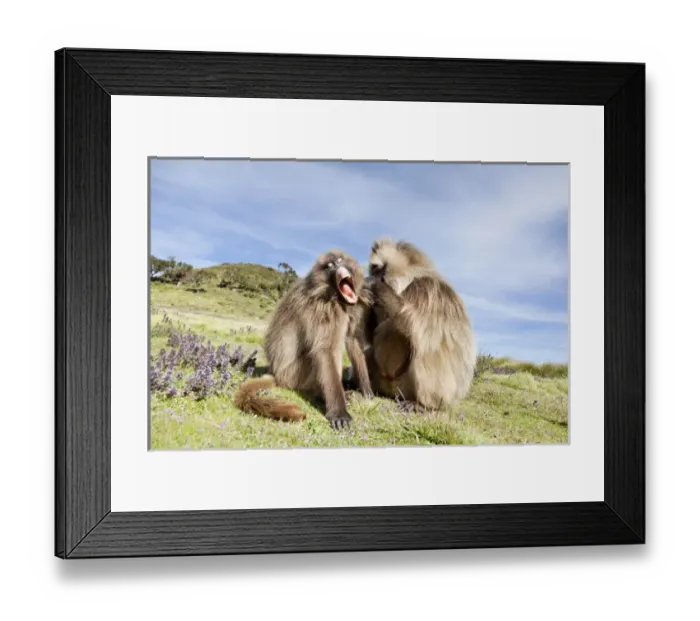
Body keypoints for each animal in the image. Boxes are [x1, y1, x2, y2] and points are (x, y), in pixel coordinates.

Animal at [234, 250, 373, 429]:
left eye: (340, 260)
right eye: (329, 266)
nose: (338, 267)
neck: (334, 297)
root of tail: (275, 373)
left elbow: (352, 340)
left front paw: (367, 391)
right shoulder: (321, 309)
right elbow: (325, 350)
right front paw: (338, 413)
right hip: (293, 374)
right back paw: (323, 396)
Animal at [365, 239, 476, 410]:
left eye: (378, 269)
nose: (372, 275)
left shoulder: (427, 290)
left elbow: (417, 329)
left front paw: (375, 287)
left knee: (424, 350)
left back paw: (422, 405)